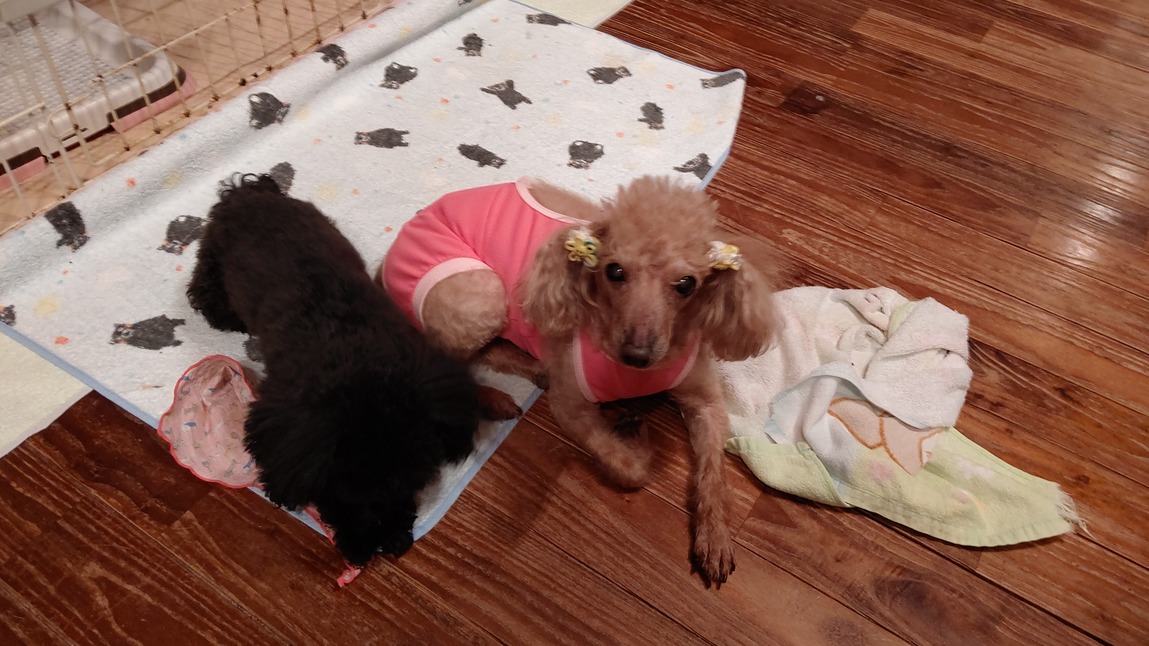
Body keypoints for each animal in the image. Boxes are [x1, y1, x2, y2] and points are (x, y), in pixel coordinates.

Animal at [187, 174, 482, 567]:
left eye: (410, 479)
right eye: (338, 492)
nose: (376, 547)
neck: (356, 354)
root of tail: (249, 191)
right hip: (213, 266)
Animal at [380, 176, 777, 586]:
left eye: (686, 284)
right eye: (613, 271)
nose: (637, 355)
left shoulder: (706, 402)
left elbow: (714, 474)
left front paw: (714, 537)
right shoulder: (570, 408)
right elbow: (630, 469)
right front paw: (634, 437)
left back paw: (530, 367)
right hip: (480, 294)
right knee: (447, 356)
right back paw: (494, 397)